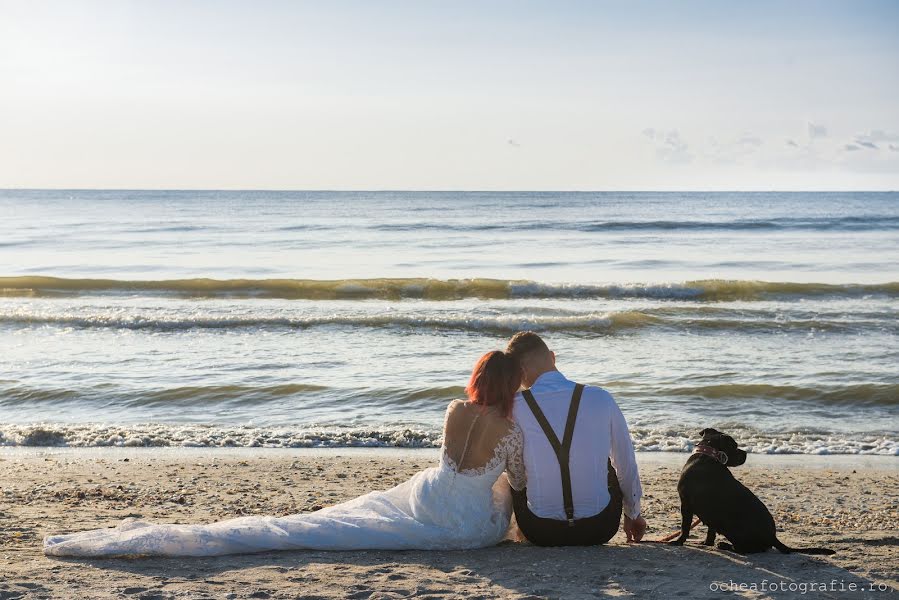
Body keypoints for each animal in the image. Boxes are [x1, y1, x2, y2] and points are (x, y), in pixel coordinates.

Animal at [672, 428, 832, 556]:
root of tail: (772, 537)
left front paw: (678, 542)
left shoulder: (686, 505)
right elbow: (709, 531)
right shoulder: (709, 511)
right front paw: (705, 543)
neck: (708, 455)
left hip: (736, 529)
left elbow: (685, 527)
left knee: (746, 549)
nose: (745, 453)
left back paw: (725, 545)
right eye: (735, 446)